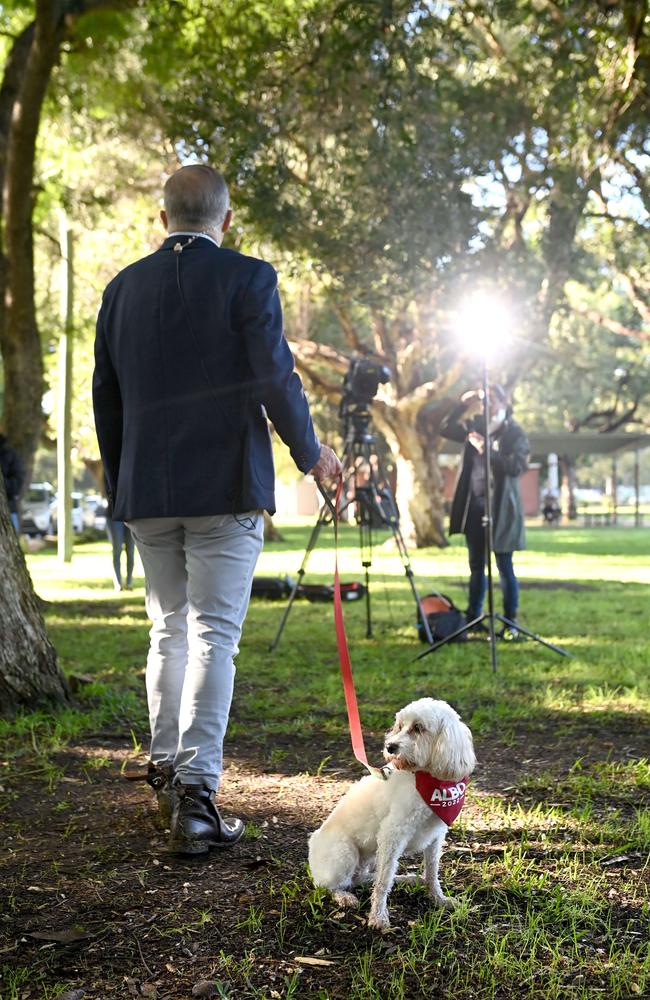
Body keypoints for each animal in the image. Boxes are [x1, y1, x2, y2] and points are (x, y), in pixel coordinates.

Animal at [306, 700, 474, 924]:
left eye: (418, 728)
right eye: (400, 726)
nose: (390, 747)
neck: (423, 776)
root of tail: (312, 843)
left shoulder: (435, 836)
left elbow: (432, 871)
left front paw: (438, 899)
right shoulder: (392, 833)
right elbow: (383, 880)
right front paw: (378, 917)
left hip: (369, 856)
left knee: (363, 878)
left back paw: (407, 878)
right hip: (345, 853)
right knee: (329, 885)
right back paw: (344, 896)